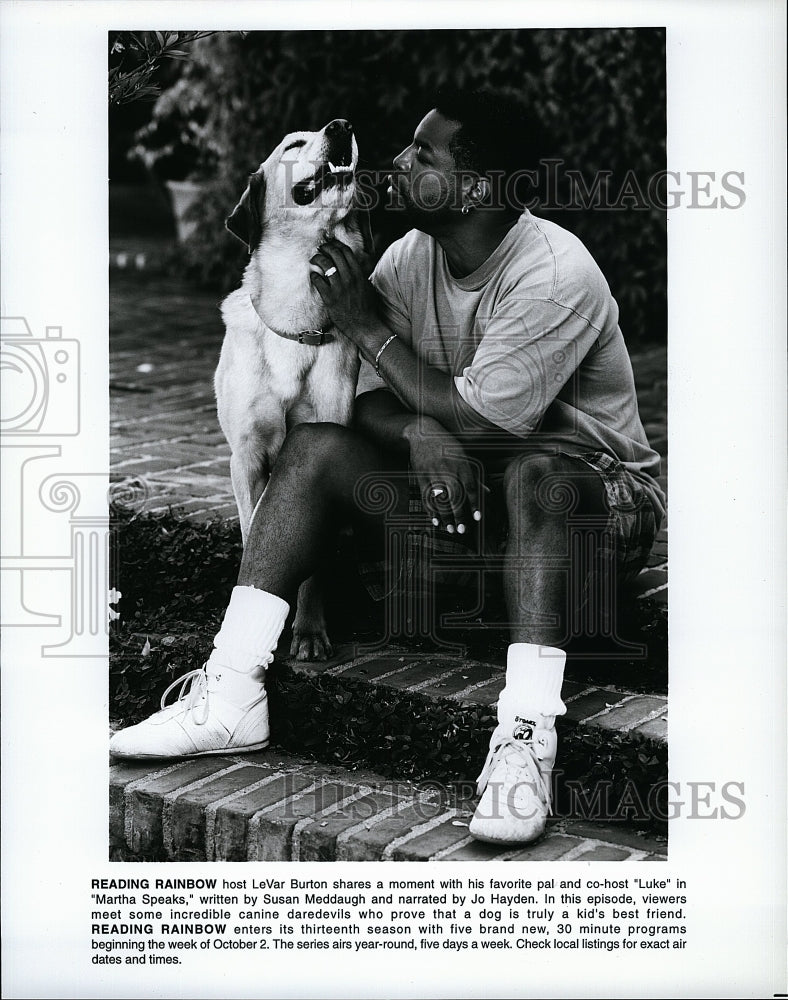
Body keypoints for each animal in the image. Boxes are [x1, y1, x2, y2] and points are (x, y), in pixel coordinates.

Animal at [214, 119, 370, 664]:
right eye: (292, 145)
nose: (343, 126)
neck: (297, 323)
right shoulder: (246, 458)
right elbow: (252, 535)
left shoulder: (319, 440)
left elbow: (313, 569)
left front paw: (308, 631)